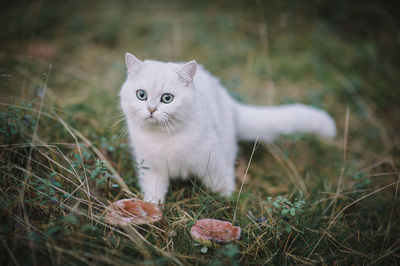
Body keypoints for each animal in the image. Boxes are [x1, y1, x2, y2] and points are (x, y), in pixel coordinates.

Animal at [120, 53, 336, 204]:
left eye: (167, 98)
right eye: (141, 95)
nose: (151, 109)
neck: (164, 138)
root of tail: (227, 98)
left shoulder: (212, 162)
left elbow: (220, 184)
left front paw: (227, 203)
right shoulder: (151, 169)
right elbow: (153, 191)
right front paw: (151, 208)